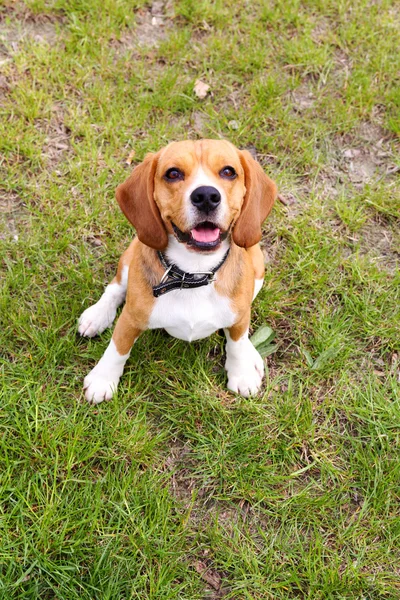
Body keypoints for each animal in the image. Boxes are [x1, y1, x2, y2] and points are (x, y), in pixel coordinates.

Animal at [79, 139, 276, 404]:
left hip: (258, 267)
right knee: (115, 288)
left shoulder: (239, 316)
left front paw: (242, 372)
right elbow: (118, 347)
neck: (194, 273)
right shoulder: (130, 318)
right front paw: (103, 378)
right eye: (173, 173)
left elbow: (236, 340)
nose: (206, 196)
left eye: (228, 171)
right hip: (131, 254)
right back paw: (97, 315)